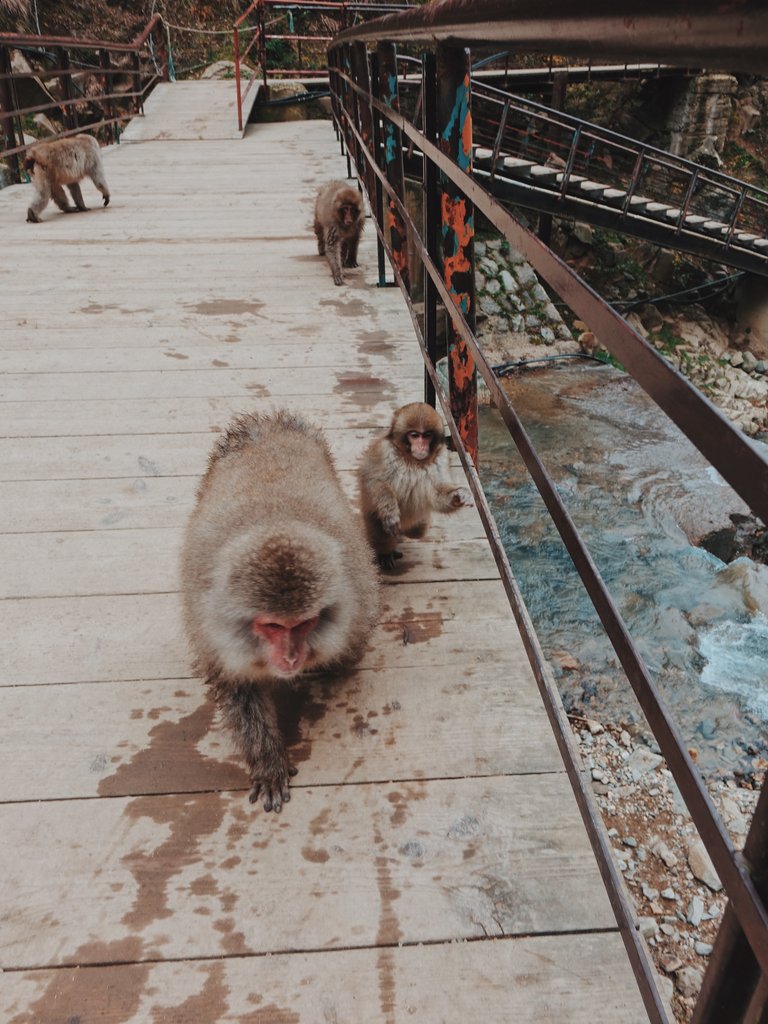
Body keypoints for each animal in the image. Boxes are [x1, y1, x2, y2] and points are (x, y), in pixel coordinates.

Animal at [178, 411, 382, 811]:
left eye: (302, 625)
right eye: (273, 626)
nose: (289, 658)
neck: (275, 521)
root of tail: (269, 425)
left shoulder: (356, 606)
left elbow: (346, 650)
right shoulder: (212, 629)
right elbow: (236, 686)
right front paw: (268, 760)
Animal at [360, 403, 475, 573]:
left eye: (426, 435)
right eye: (414, 435)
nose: (421, 446)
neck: (412, 459)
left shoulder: (441, 457)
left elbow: (437, 493)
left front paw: (458, 495)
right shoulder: (383, 450)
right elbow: (375, 481)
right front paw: (390, 512)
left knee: (416, 531)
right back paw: (385, 552)